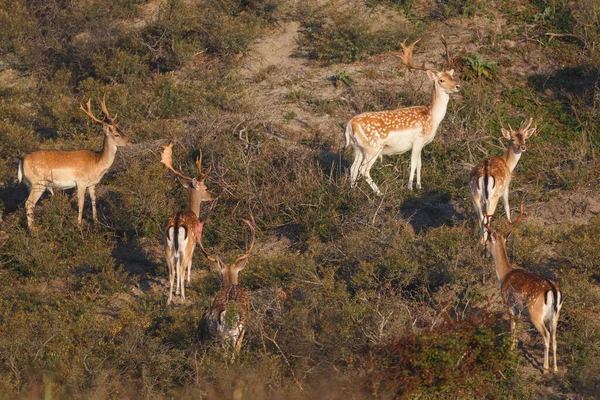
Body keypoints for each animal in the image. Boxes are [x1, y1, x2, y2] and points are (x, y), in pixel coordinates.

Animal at [18, 96, 131, 228]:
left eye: (121, 130)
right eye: (116, 134)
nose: (129, 140)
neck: (97, 163)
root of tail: (22, 160)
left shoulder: (92, 183)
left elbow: (94, 200)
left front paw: (96, 221)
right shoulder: (81, 181)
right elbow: (81, 203)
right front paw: (79, 225)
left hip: (30, 184)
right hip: (38, 183)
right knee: (29, 203)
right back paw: (33, 229)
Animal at [161, 144, 214, 304]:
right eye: (205, 188)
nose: (212, 196)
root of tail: (177, 224)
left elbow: (177, 269)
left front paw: (177, 291)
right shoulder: (194, 243)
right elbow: (188, 264)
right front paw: (186, 285)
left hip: (167, 248)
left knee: (172, 272)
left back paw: (169, 299)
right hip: (186, 245)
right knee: (183, 268)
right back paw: (183, 298)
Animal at [344, 35, 462, 195]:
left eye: (451, 76)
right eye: (441, 80)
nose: (458, 86)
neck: (432, 117)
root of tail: (350, 125)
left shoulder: (422, 144)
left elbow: (419, 164)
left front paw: (419, 186)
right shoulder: (418, 141)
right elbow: (413, 164)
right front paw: (409, 187)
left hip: (358, 148)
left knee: (353, 168)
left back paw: (353, 191)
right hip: (372, 148)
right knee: (363, 169)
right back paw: (379, 193)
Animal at [482, 205, 564, 374]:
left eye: (486, 243)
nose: (482, 253)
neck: (504, 275)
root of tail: (553, 290)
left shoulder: (510, 305)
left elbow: (512, 329)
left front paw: (510, 352)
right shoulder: (519, 310)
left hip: (535, 313)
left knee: (546, 336)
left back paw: (545, 368)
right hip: (556, 315)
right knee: (554, 337)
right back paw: (555, 369)